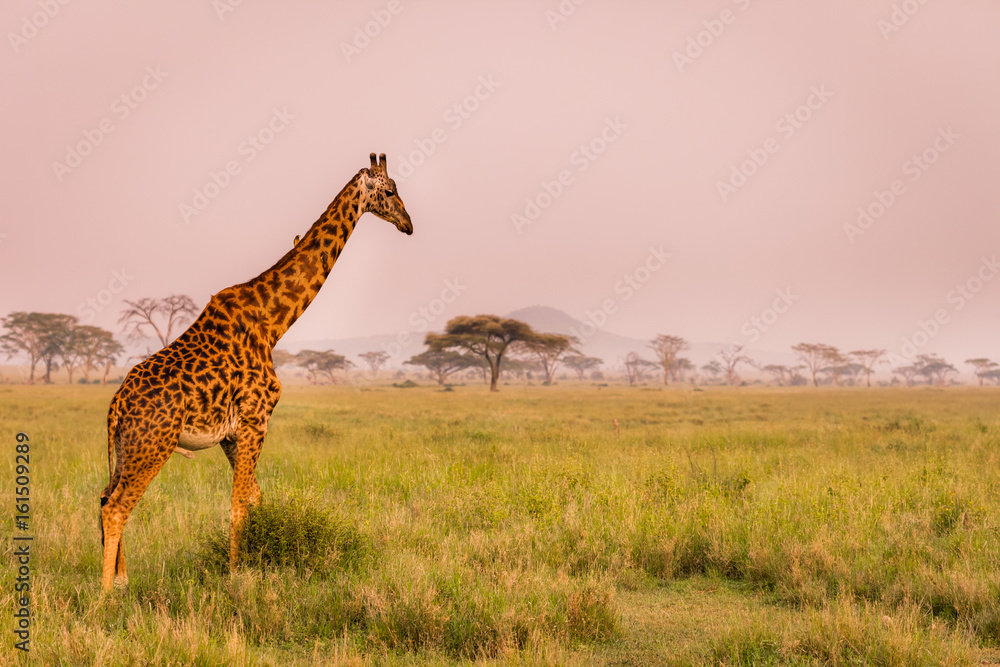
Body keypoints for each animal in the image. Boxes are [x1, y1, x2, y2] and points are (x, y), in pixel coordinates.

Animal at [99, 153, 412, 591]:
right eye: (390, 190)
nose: (408, 223)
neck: (273, 322)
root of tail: (116, 405)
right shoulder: (255, 419)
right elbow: (239, 505)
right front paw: (236, 576)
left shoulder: (233, 434)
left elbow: (255, 498)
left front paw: (255, 563)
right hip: (153, 444)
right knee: (115, 507)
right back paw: (106, 594)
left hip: (128, 446)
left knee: (104, 497)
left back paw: (122, 580)